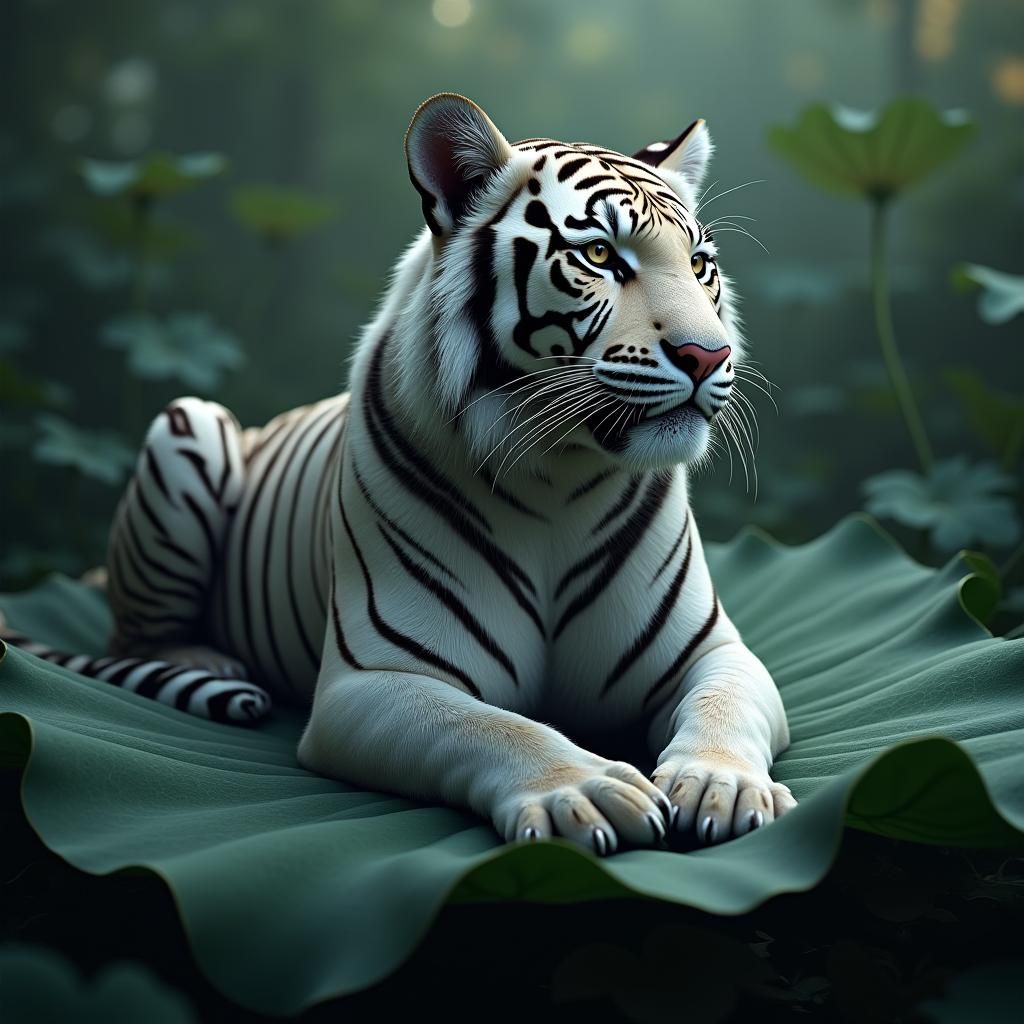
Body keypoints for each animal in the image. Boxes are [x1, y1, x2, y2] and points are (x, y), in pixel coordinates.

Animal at [2, 94, 794, 853]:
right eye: (600, 253)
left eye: (700, 265)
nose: (710, 355)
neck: (559, 475)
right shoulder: (372, 682)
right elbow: (495, 727)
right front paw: (583, 789)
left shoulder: (717, 652)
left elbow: (722, 708)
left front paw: (721, 785)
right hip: (190, 421)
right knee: (132, 639)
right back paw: (212, 663)